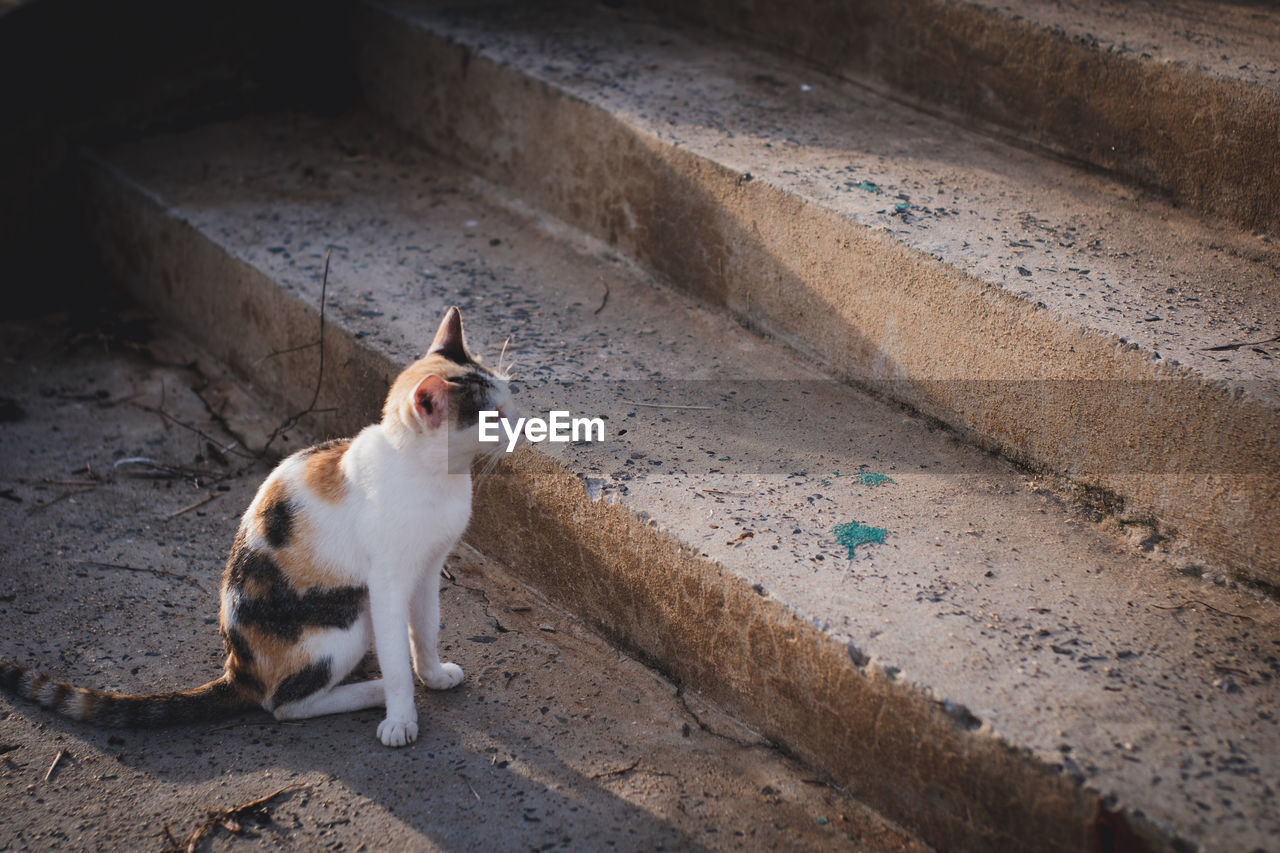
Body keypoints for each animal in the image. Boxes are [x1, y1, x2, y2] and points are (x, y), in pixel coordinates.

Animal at [5, 306, 517, 742]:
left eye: (510, 397)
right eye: (491, 417)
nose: (521, 426)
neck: (435, 477)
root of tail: (238, 670)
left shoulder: (428, 568)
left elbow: (425, 629)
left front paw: (433, 675)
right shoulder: (388, 583)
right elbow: (396, 657)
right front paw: (400, 716)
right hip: (347, 619)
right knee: (283, 705)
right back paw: (367, 692)